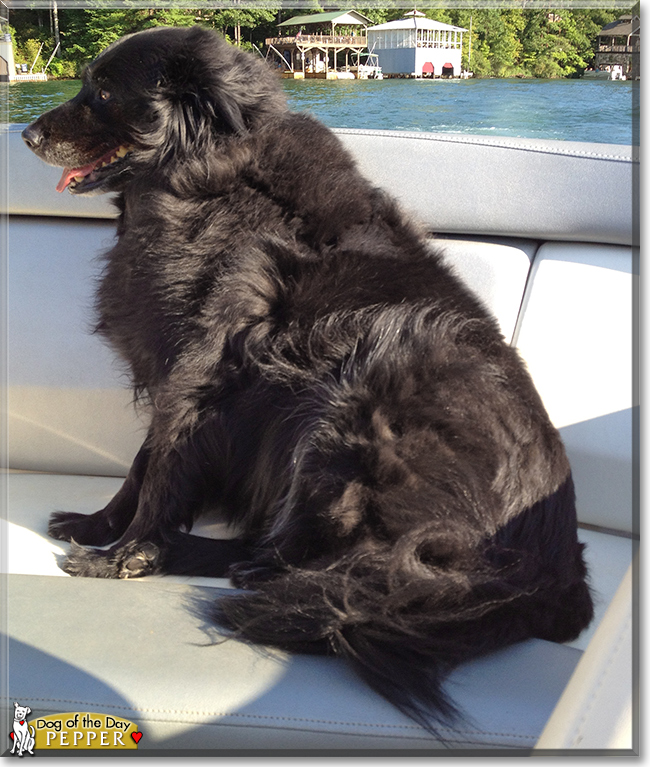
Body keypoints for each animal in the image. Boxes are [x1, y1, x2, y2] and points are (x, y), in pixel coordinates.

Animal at [22, 27, 588, 736]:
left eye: (101, 93)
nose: (27, 135)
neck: (208, 183)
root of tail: (549, 576)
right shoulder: (176, 369)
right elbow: (139, 465)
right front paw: (98, 526)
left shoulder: (199, 372)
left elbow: (161, 472)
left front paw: (124, 555)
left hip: (354, 401)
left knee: (320, 566)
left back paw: (206, 562)